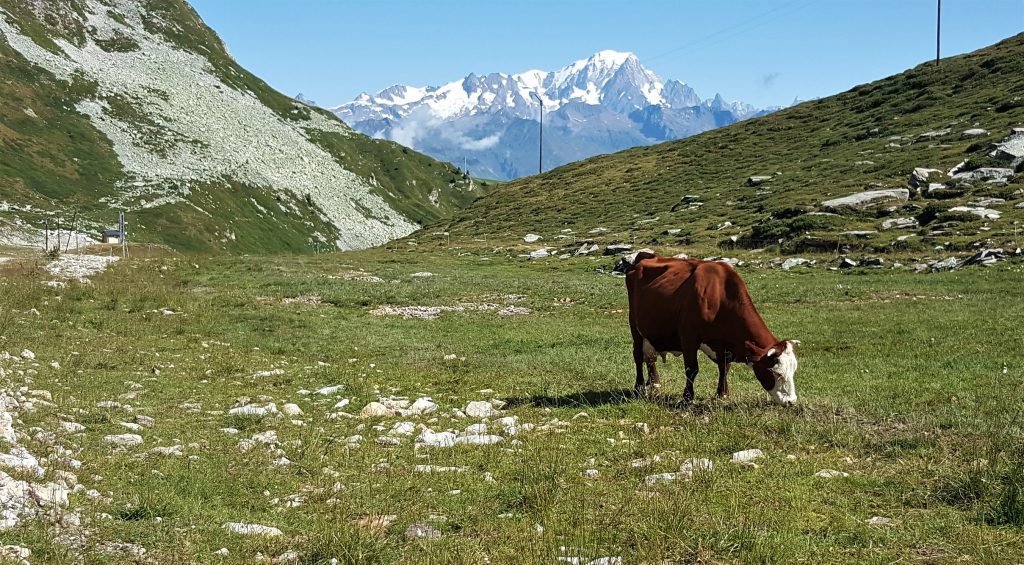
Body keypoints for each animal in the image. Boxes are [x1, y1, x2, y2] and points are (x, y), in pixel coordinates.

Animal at [614, 251, 798, 405]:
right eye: (776, 372)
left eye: (793, 371)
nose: (791, 401)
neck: (721, 297)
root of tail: (647, 256)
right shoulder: (688, 337)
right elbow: (692, 369)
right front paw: (687, 398)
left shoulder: (723, 345)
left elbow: (725, 368)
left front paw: (722, 394)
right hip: (635, 327)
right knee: (638, 356)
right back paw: (639, 387)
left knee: (650, 357)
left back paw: (655, 384)